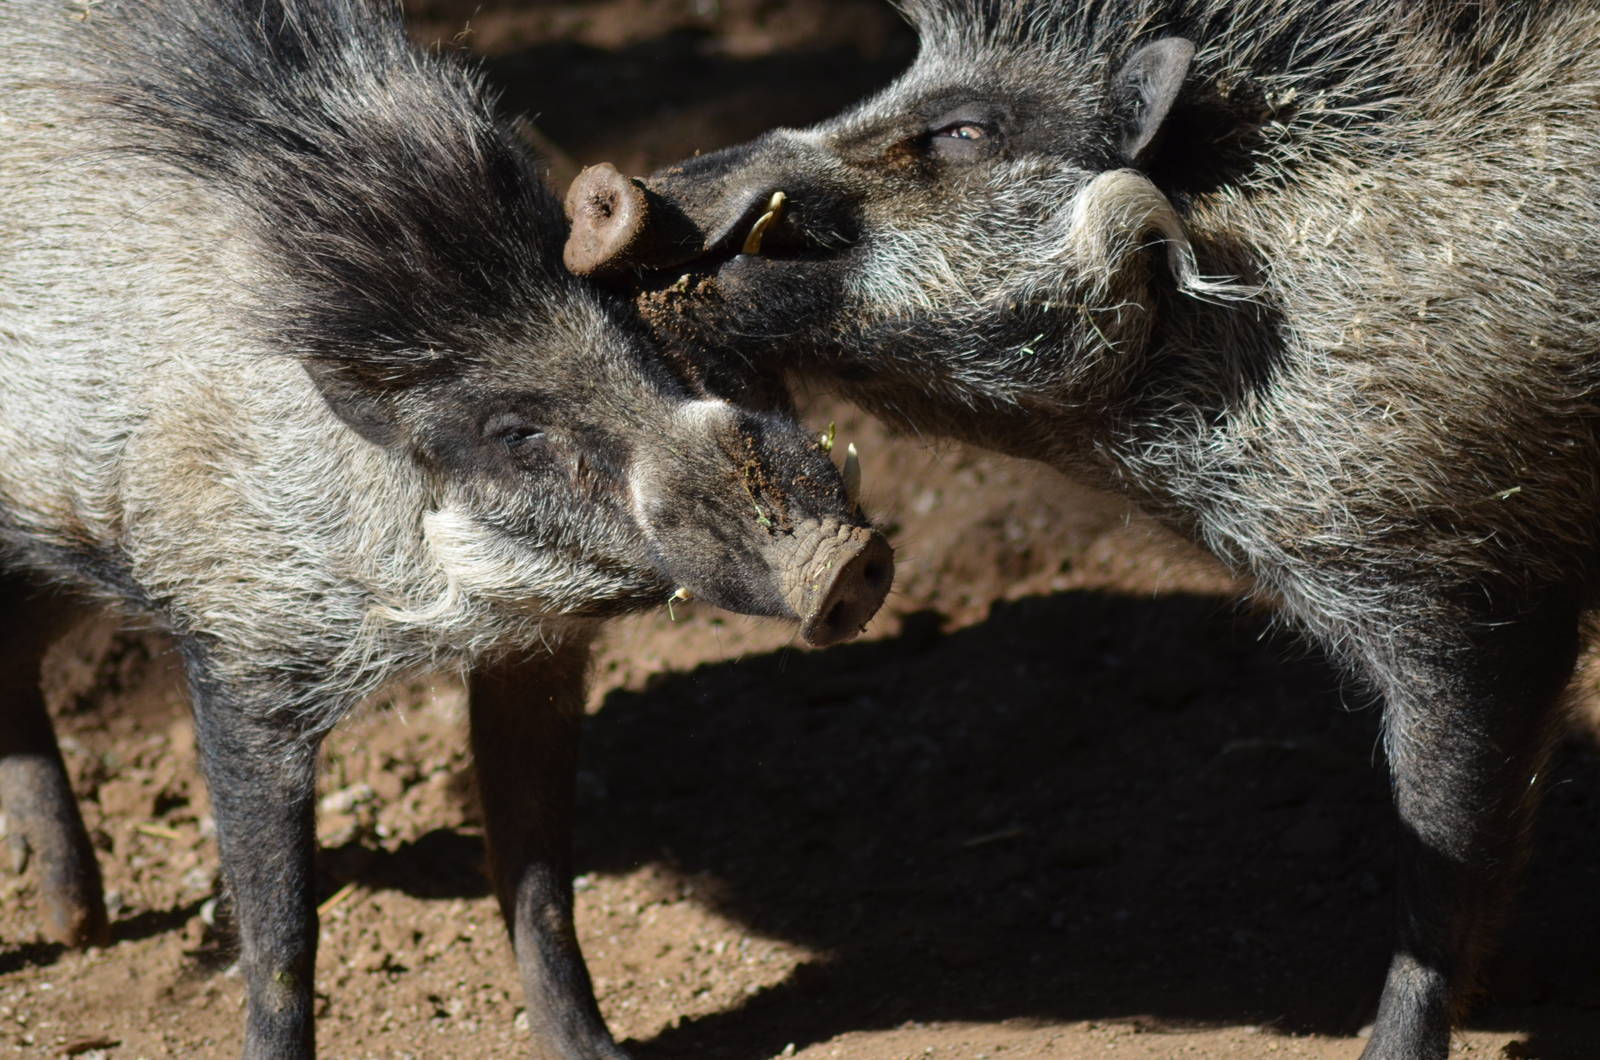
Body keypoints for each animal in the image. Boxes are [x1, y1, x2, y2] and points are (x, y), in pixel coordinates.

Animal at [0, 0, 892, 1057]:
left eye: (630, 331)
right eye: (514, 432)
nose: (849, 557)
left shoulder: (535, 653)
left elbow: (541, 885)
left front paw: (596, 1051)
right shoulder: (238, 644)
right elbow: (283, 934)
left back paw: (77, 922)